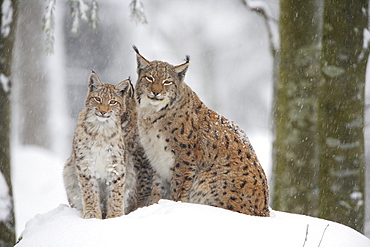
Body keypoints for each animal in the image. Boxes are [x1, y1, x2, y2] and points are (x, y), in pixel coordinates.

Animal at [64, 71, 135, 218]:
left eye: (113, 102)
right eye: (97, 99)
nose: (103, 111)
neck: (101, 128)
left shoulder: (116, 164)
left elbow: (116, 192)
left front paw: (115, 216)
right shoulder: (85, 162)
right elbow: (89, 191)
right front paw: (92, 214)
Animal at [132, 46, 268, 216]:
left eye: (167, 82)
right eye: (149, 78)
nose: (155, 92)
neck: (151, 113)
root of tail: (265, 212)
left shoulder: (185, 156)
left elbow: (179, 186)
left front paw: (173, 206)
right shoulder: (157, 157)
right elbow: (158, 189)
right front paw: (153, 208)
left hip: (208, 179)